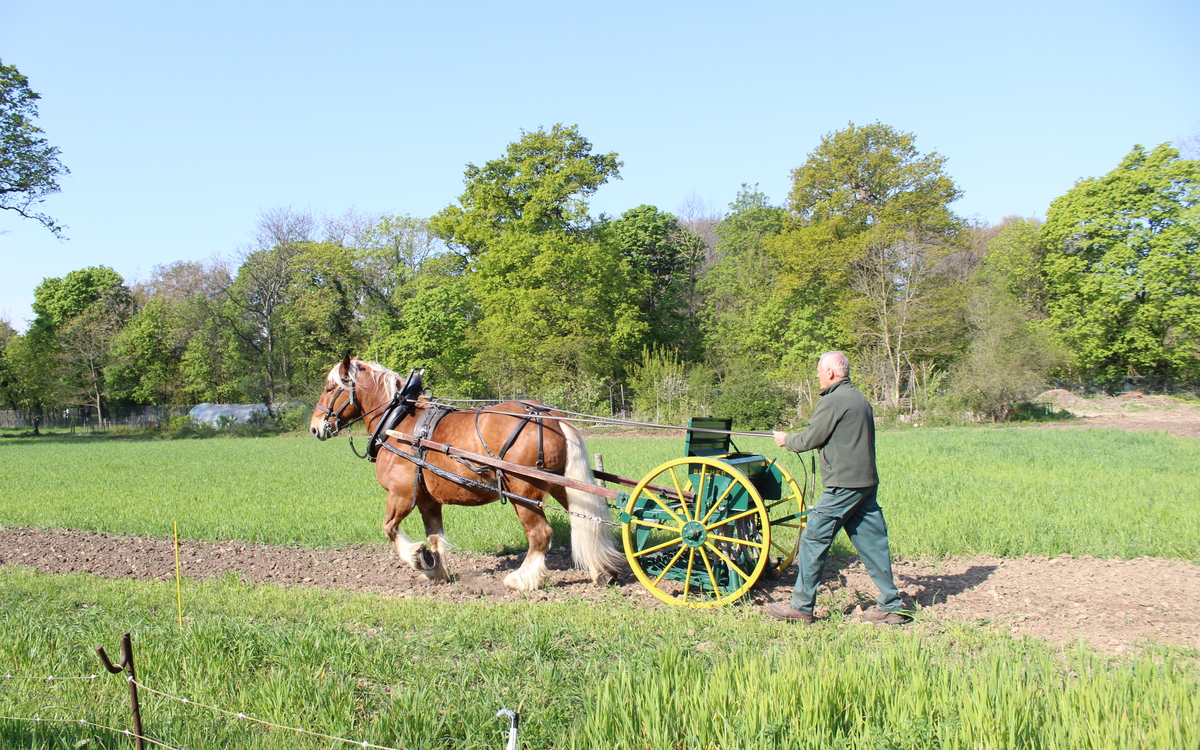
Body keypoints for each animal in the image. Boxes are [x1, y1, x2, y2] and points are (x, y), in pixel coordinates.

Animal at [304, 357, 624, 590]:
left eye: (330, 388)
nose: (315, 427)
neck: (397, 422)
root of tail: (551, 418)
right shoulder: (427, 500)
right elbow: (434, 536)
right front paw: (436, 572)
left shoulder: (401, 495)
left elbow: (390, 529)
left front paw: (417, 558)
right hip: (561, 486)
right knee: (589, 524)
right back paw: (602, 572)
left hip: (523, 492)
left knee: (540, 534)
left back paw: (522, 579)